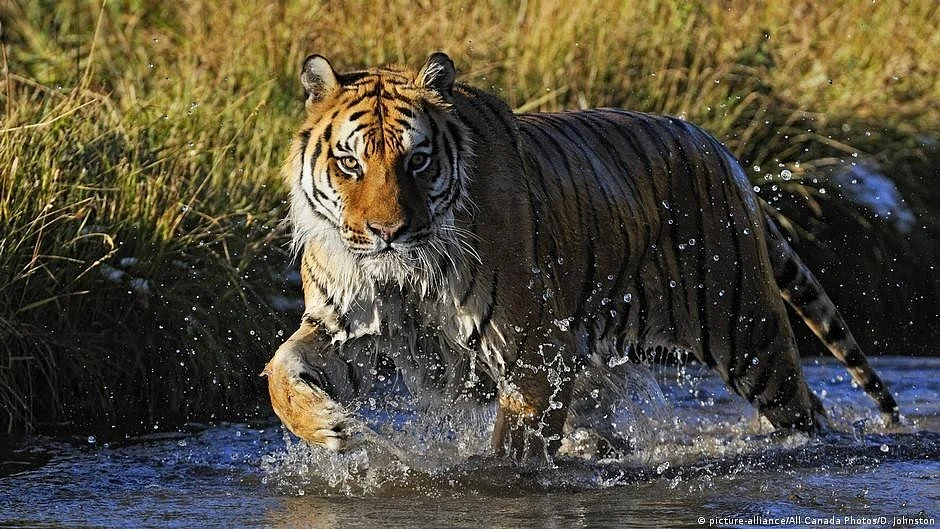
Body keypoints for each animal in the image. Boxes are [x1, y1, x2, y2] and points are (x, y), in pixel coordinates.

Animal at [261, 52, 900, 458]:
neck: (405, 272)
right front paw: (330, 427)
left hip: (747, 330)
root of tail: (721, 148)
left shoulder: (535, 351)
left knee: (804, 408)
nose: (386, 230)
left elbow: (515, 447)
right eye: (350, 163)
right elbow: (281, 371)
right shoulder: (347, 323)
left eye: (417, 160)